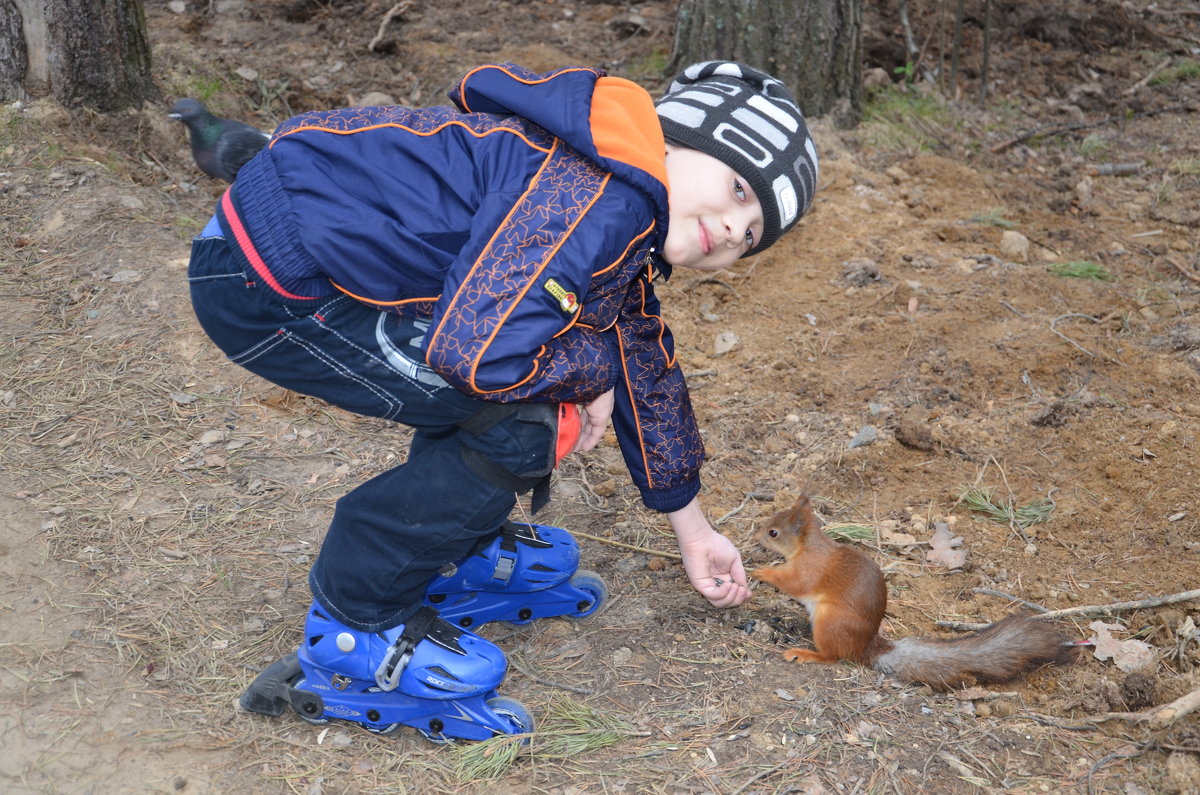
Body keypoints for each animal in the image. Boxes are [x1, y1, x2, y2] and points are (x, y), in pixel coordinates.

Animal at [753, 492, 1075, 691]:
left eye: (774, 533)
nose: (757, 537)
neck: (807, 547)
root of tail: (867, 647)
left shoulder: (811, 570)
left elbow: (795, 584)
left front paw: (760, 572)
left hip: (830, 622)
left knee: (834, 656)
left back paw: (805, 654)